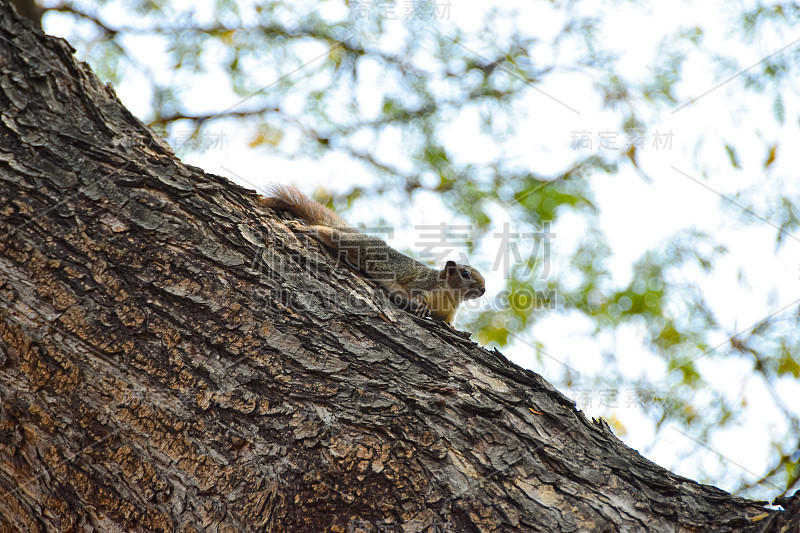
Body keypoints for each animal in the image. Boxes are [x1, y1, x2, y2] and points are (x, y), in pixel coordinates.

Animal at [260, 185, 488, 322]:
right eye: (465, 274)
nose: (483, 289)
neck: (452, 295)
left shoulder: (448, 314)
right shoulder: (424, 284)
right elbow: (413, 293)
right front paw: (421, 306)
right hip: (354, 244)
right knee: (330, 234)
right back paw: (308, 229)